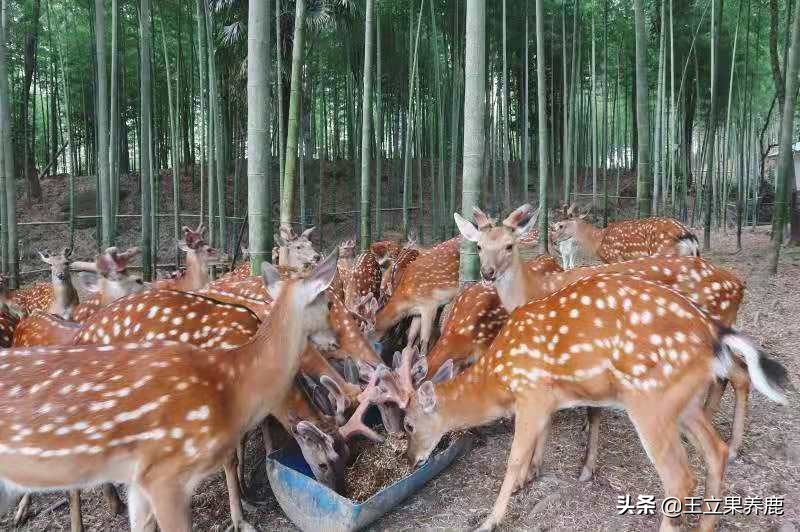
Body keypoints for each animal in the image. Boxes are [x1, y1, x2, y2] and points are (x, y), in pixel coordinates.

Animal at [0, 250, 340, 531]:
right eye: (327, 462)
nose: (338, 489)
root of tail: (81, 334)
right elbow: (231, 457)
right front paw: (242, 513)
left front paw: (249, 489)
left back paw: (111, 503)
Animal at [397, 273, 790, 531]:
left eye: (408, 424)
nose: (410, 459)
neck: (497, 379)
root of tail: (714, 333)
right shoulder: (548, 399)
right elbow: (540, 441)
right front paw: (531, 478)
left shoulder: (532, 392)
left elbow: (512, 460)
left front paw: (490, 519)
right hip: (685, 402)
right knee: (715, 451)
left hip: (651, 401)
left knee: (680, 477)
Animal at [455, 204, 753, 459]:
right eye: (479, 246)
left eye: (509, 245)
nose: (487, 272)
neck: (535, 290)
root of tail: (738, 284)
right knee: (733, 371)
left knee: (737, 373)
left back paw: (732, 446)